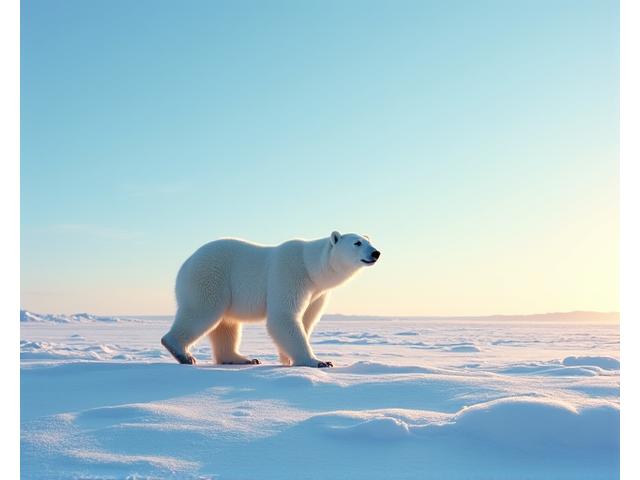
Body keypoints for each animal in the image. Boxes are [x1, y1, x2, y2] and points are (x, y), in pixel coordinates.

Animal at [161, 231, 381, 368]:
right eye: (357, 242)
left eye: (369, 241)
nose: (376, 252)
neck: (311, 266)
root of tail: (185, 264)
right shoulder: (290, 274)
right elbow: (283, 316)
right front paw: (318, 361)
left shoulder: (317, 293)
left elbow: (306, 320)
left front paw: (287, 358)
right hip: (210, 277)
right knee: (202, 311)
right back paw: (182, 353)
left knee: (227, 325)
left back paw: (243, 359)